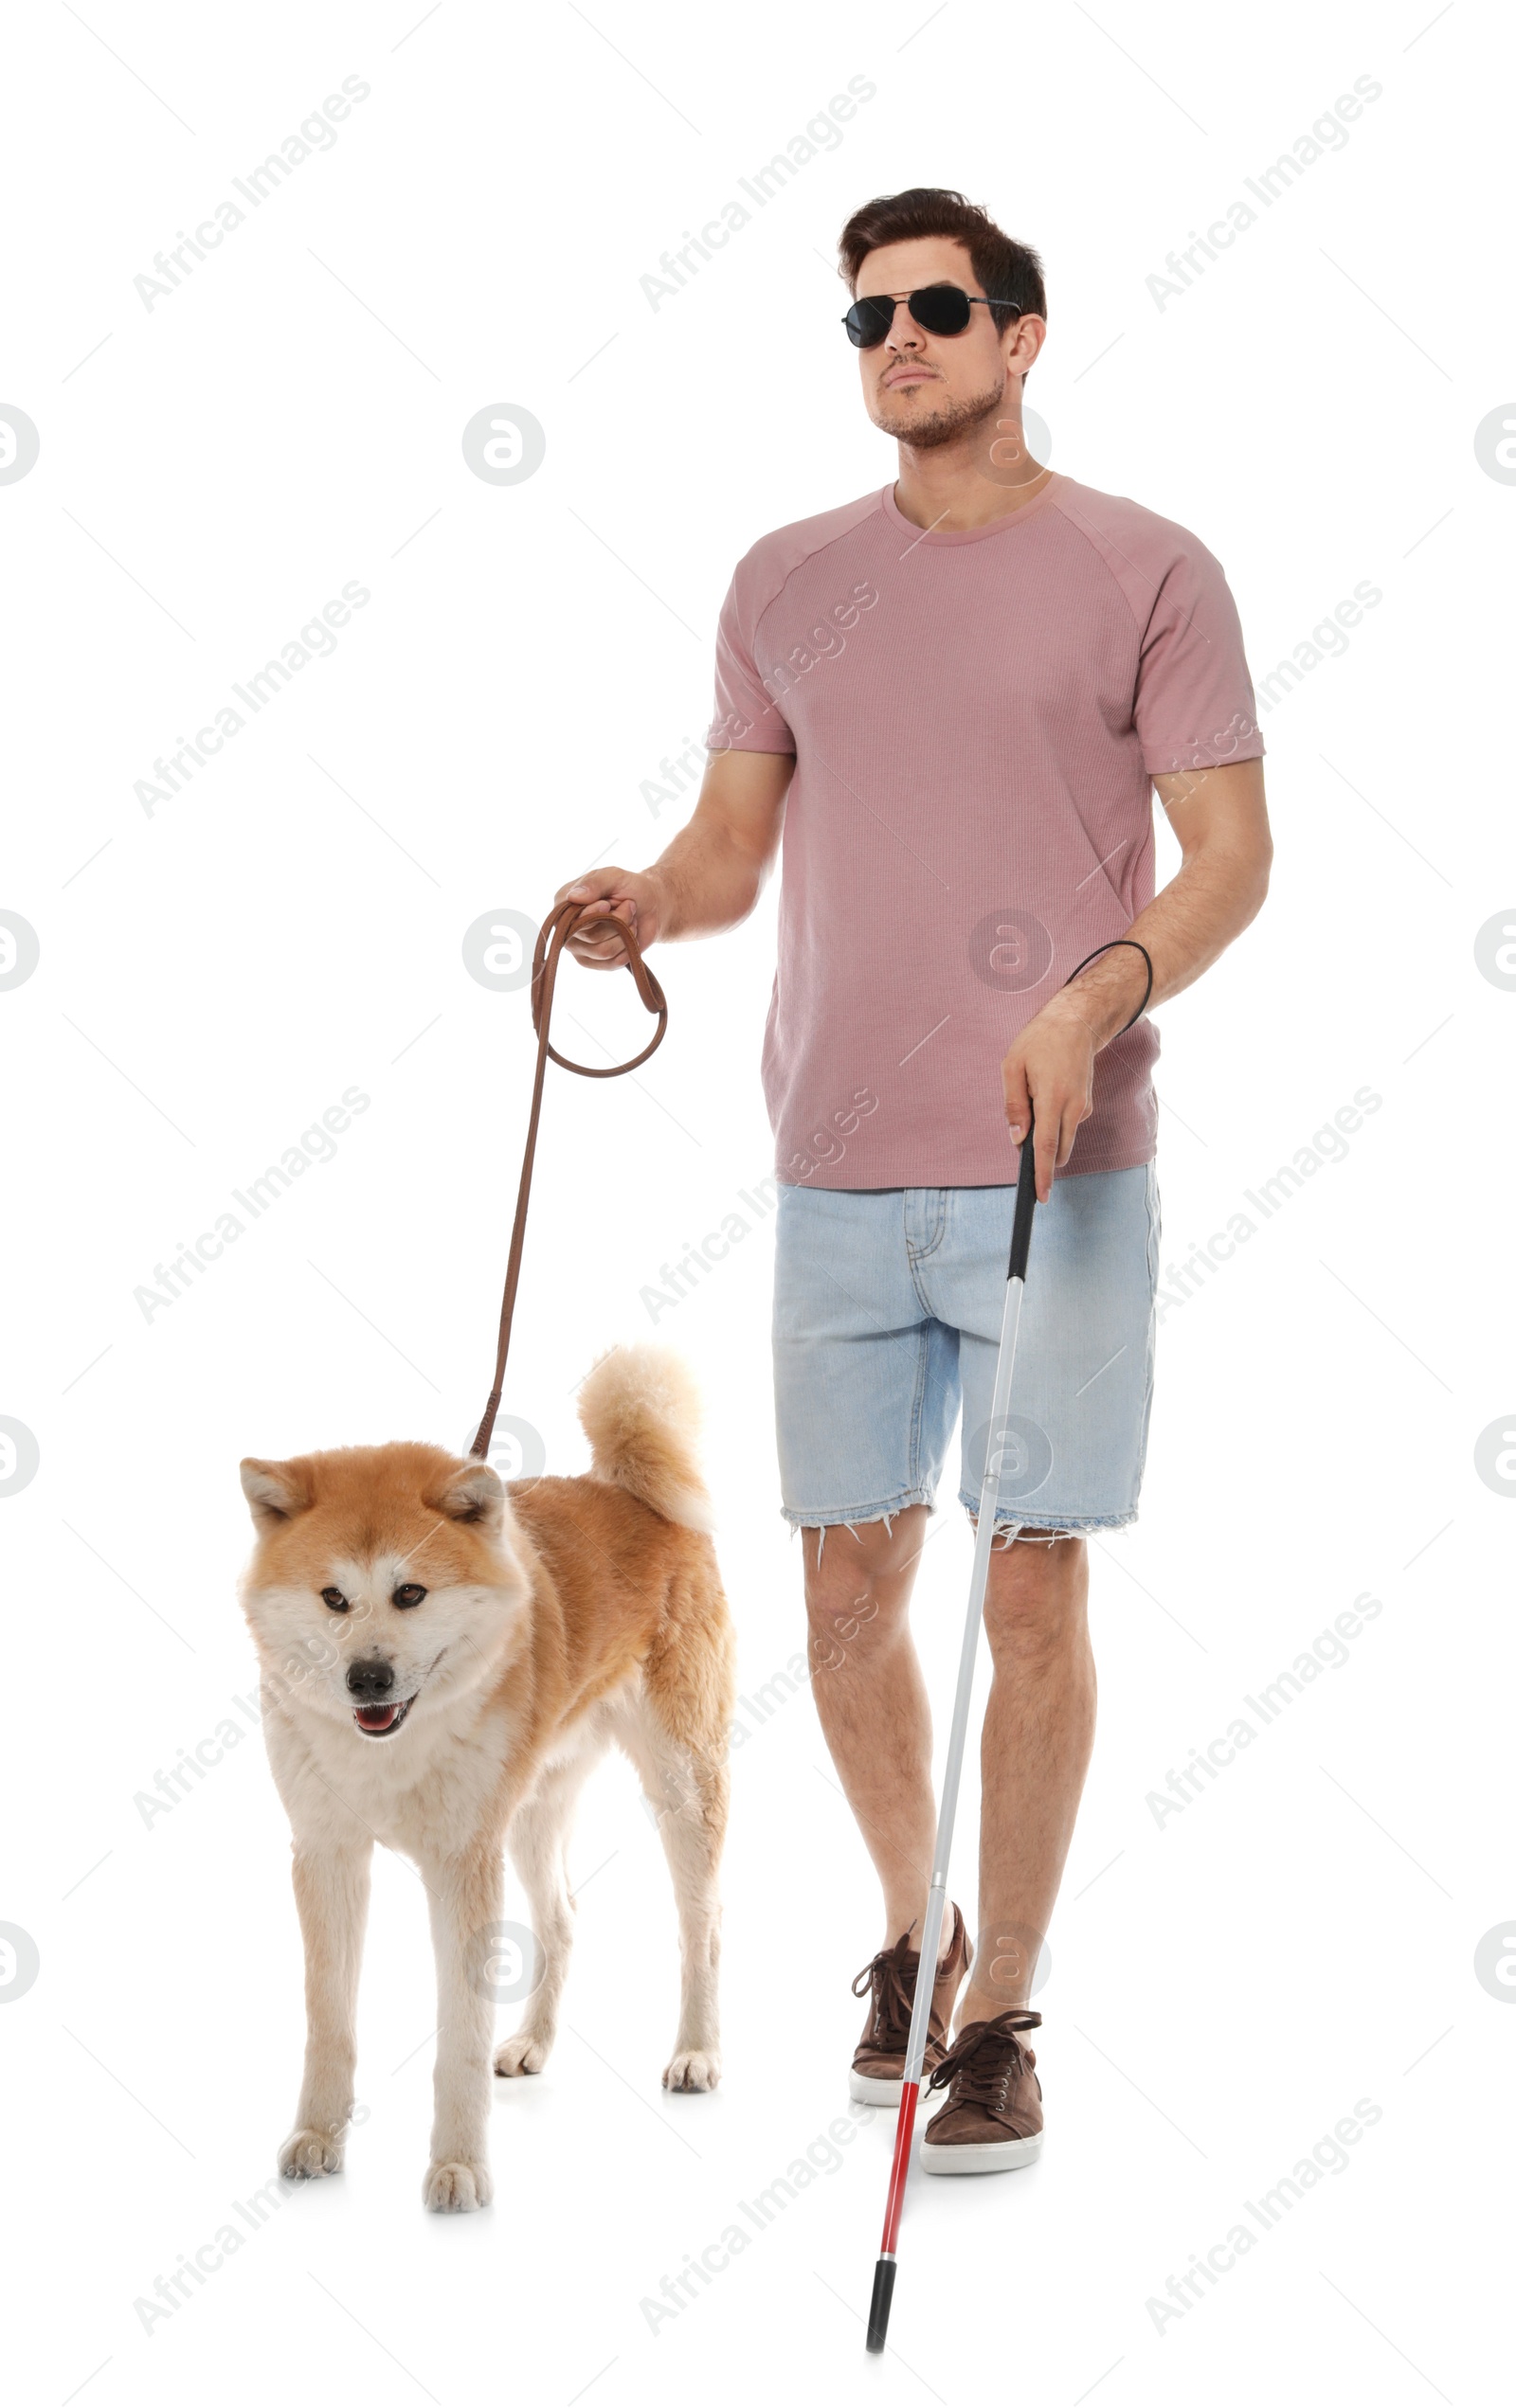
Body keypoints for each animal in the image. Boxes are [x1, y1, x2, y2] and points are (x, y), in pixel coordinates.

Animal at [237, 1348, 732, 2205]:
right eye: (333, 1598)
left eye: (410, 1592)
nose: (368, 1678)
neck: (391, 1749)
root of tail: (627, 1489)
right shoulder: (328, 1854)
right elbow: (330, 2021)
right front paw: (318, 2136)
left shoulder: (462, 1863)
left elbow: (457, 2041)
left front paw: (459, 2165)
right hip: (533, 1813)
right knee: (563, 1921)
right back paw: (533, 2043)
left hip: (681, 1789)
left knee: (700, 1930)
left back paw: (696, 2053)